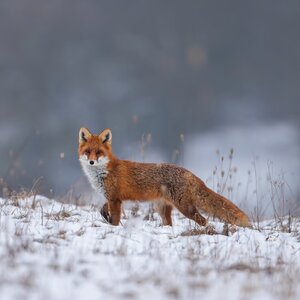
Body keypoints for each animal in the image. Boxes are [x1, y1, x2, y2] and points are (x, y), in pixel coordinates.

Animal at [78, 127, 251, 227]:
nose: (91, 161)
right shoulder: (112, 198)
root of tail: (190, 173)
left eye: (99, 152)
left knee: (204, 220)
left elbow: (114, 219)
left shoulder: (115, 199)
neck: (103, 172)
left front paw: (112, 225)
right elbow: (102, 209)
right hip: (162, 208)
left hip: (185, 208)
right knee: (170, 224)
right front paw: (105, 216)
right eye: (88, 152)